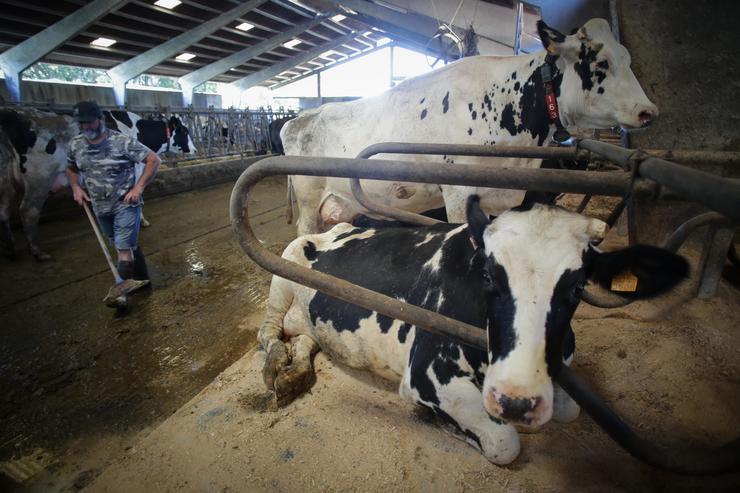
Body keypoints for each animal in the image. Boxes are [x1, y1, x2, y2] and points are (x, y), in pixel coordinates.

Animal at [0, 107, 77, 260]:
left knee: (3, 212)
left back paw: (10, 248)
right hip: (40, 178)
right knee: (28, 210)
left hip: (4, 179)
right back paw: (38, 252)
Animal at [258, 195, 688, 462]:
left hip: (313, 316)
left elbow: (569, 409)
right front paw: (438, 420)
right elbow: (504, 441)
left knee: (307, 338)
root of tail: (338, 226)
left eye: (578, 286)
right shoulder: (429, 373)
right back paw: (276, 364)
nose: (517, 399)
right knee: (268, 331)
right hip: (284, 268)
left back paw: (295, 374)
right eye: (488, 276)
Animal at [284, 17, 660, 234]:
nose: (648, 112)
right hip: (308, 200)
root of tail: (301, 118)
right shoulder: (457, 195)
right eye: (602, 62)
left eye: (627, 59)